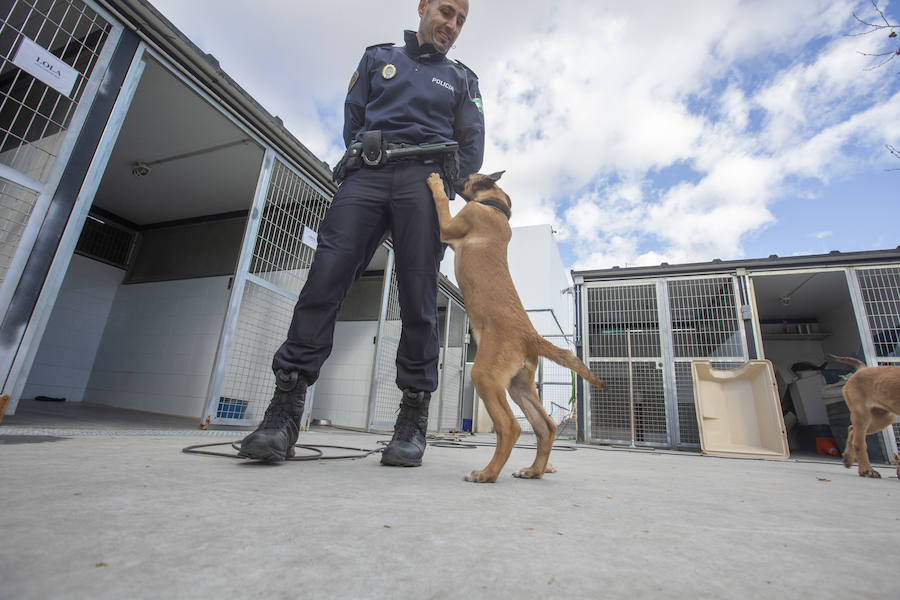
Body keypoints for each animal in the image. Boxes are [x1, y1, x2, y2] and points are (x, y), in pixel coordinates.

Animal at [428, 169, 608, 482]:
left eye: (468, 175)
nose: (452, 171)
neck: (495, 208)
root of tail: (531, 336)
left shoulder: (449, 226)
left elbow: (440, 203)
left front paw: (435, 183)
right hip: (518, 386)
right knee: (545, 426)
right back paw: (534, 470)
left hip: (486, 377)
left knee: (510, 427)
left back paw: (487, 474)